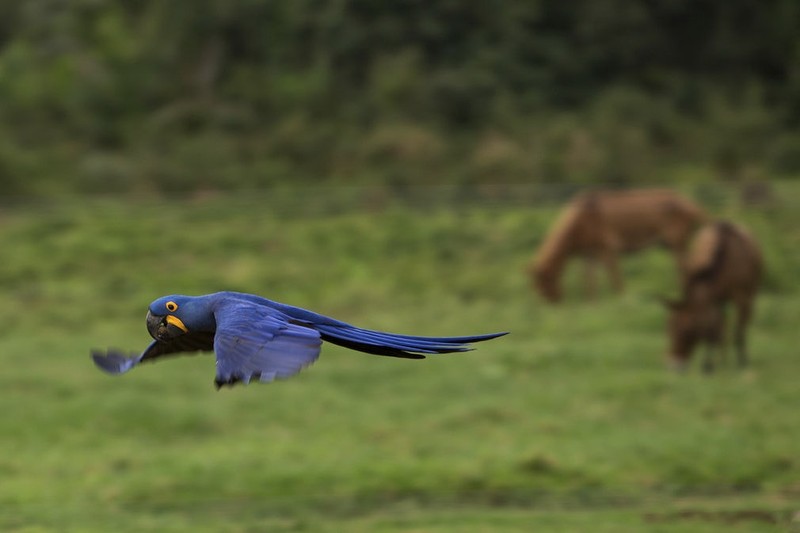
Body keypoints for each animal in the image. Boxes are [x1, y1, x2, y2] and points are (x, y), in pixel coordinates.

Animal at [524, 189, 708, 302]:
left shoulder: (608, 248)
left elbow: (615, 280)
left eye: (545, 281)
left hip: (677, 243)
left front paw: (623, 302)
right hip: (669, 244)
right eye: (536, 286)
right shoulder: (589, 254)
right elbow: (589, 281)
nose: (552, 304)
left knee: (685, 268)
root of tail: (690, 203)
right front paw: (592, 304)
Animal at [664, 220, 764, 370]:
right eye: (669, 328)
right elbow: (711, 331)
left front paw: (742, 361)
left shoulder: (743, 297)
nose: (674, 365)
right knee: (721, 326)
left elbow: (738, 331)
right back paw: (721, 358)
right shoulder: (712, 300)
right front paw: (708, 366)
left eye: (686, 331)